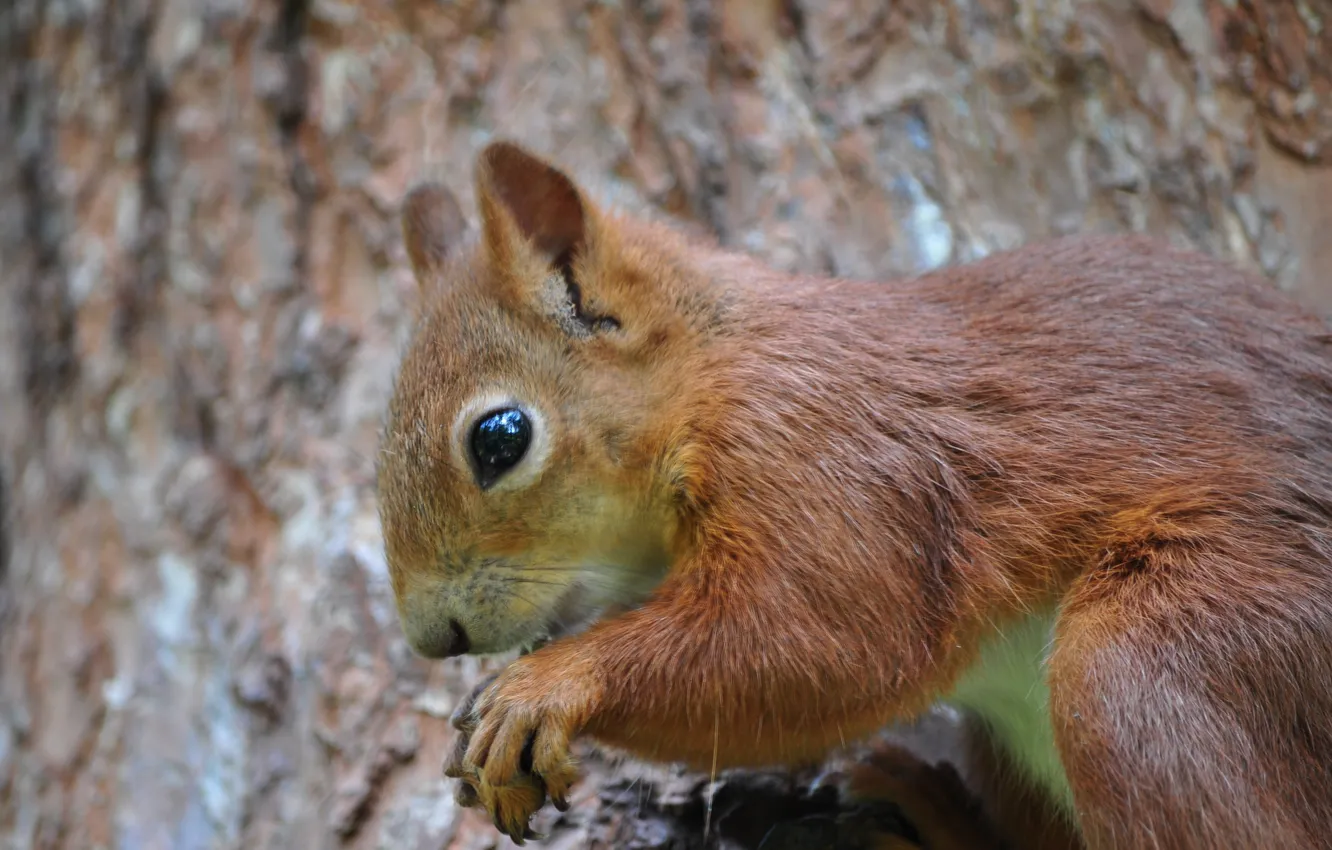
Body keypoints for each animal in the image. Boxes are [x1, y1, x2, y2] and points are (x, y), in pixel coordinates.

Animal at [375, 143, 1332, 847]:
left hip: (1160, 660)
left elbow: (827, 642)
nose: (431, 638)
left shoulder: (821, 456)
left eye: (500, 437)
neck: (712, 375)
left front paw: (544, 685)